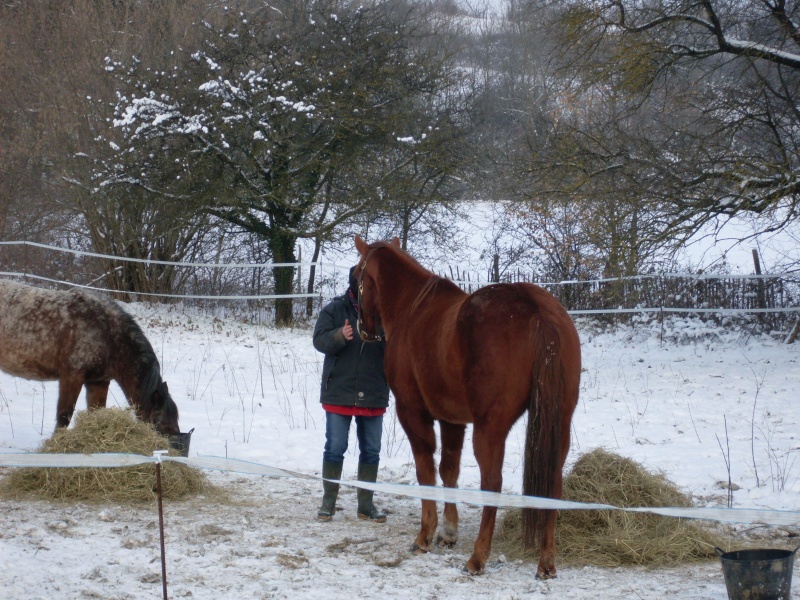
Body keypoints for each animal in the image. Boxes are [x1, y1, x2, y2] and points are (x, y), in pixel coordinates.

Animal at [0, 278, 180, 434]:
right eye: (162, 424)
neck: (107, 333)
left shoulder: (98, 382)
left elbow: (97, 412)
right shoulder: (72, 376)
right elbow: (64, 416)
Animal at [354, 237, 580, 580]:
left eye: (357, 276)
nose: (363, 329)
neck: (413, 310)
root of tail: (537, 309)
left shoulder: (413, 413)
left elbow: (426, 470)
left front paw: (425, 535)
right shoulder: (452, 420)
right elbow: (449, 469)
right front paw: (449, 531)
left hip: (490, 428)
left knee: (492, 484)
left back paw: (477, 558)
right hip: (559, 424)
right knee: (553, 485)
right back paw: (546, 562)